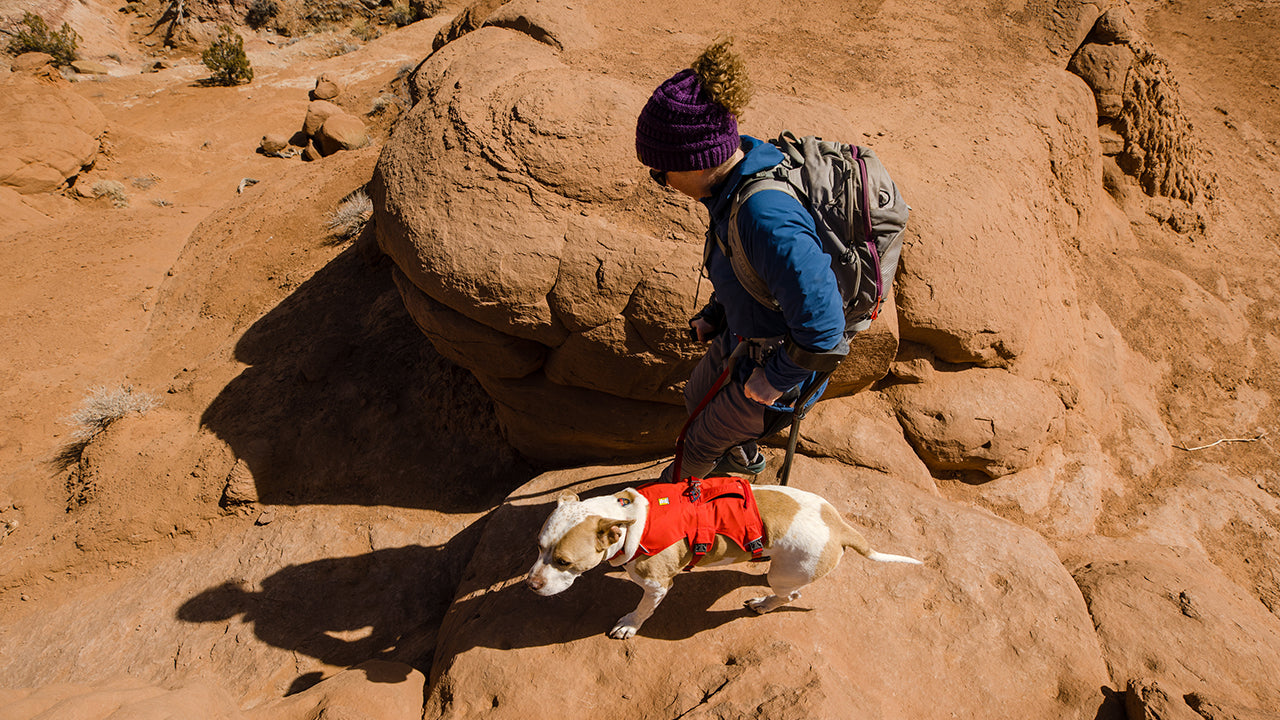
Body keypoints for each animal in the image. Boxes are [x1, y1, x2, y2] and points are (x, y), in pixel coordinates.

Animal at [524, 479, 926, 635]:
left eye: (564, 562)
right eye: (539, 547)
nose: (531, 585)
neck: (629, 519)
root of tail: (841, 527)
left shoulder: (657, 586)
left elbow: (642, 610)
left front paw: (629, 626)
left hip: (790, 572)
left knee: (789, 594)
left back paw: (764, 603)